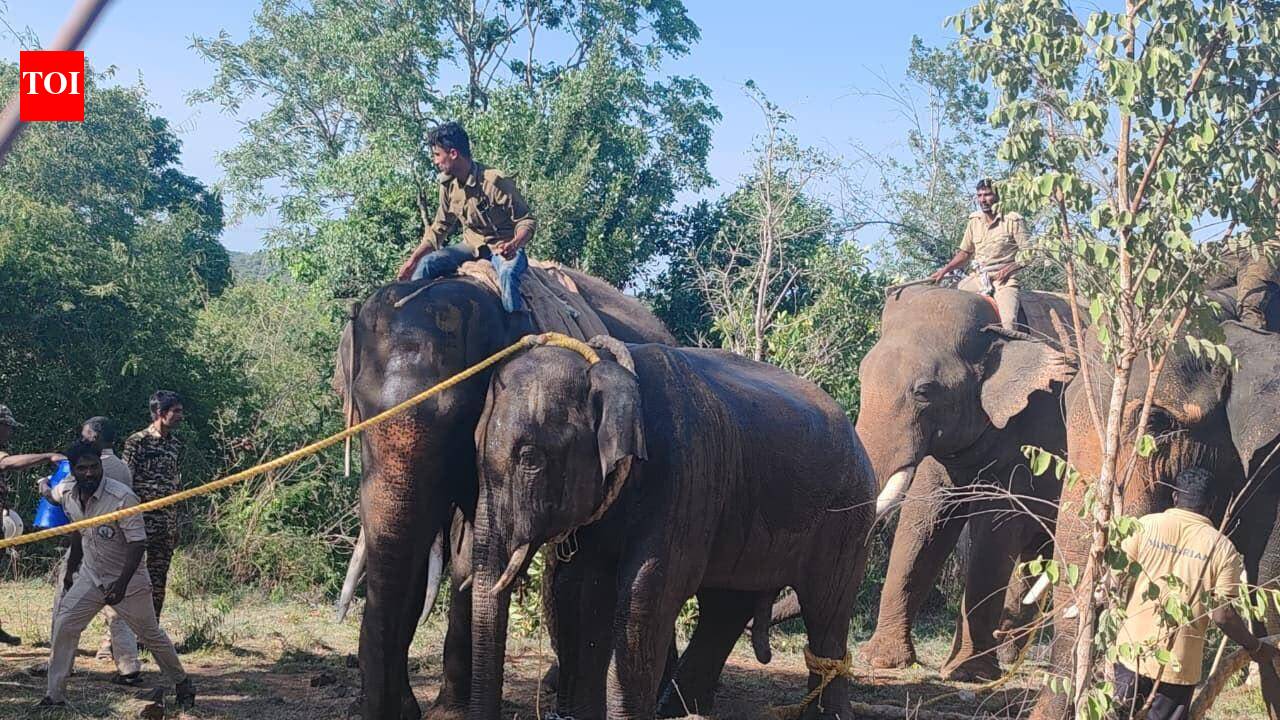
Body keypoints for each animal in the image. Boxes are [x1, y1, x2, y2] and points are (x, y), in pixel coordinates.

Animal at [467, 337, 877, 719]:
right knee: (727, 605)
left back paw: (827, 713)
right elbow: (577, 590)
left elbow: (649, 591)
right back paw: (680, 708)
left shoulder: (685, 475)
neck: (606, 366)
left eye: (529, 458)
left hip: (849, 515)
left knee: (826, 607)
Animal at [853, 285, 1078, 681]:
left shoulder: (1033, 426)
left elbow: (996, 528)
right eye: (862, 375)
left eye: (924, 391)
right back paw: (1008, 656)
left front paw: (967, 673)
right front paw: (880, 660)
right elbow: (925, 519)